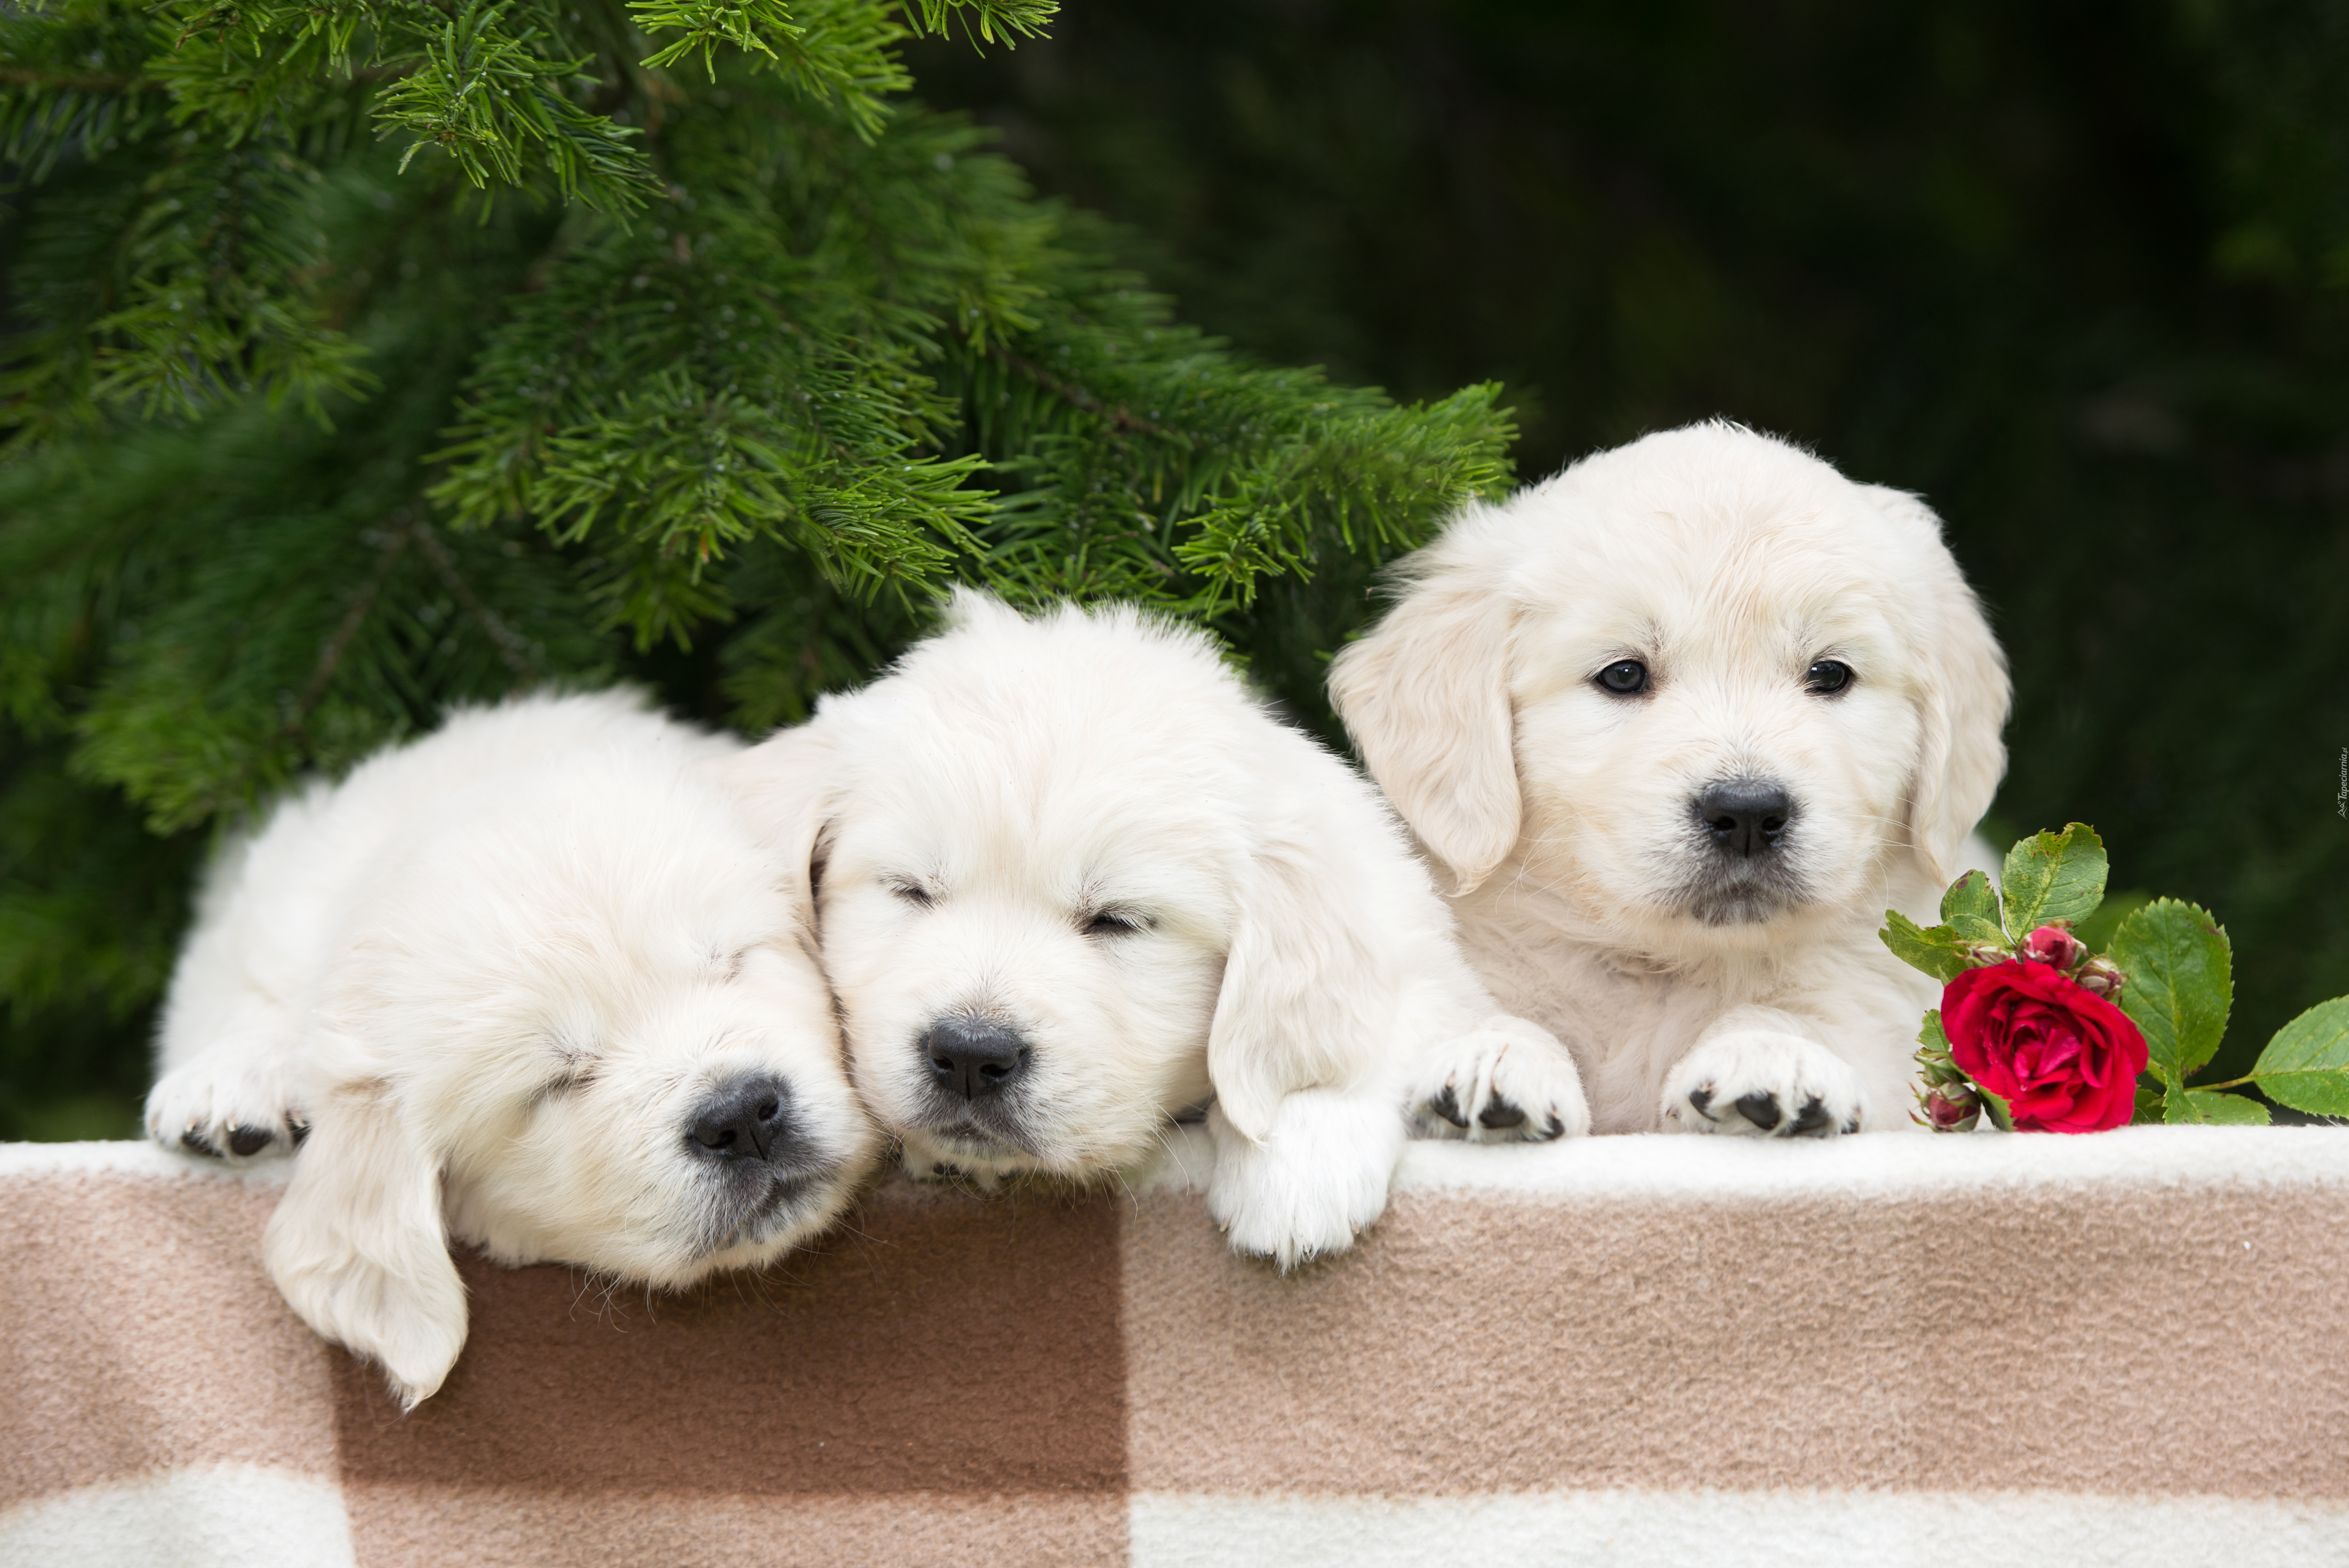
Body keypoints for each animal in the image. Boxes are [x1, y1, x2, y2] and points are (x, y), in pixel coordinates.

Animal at [1334, 420, 2010, 1140]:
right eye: (1623, 675)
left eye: (1830, 674)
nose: (1748, 813)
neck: (1662, 970)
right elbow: (1495, 1010)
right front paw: (1498, 1057)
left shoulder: (1880, 1006)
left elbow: (1806, 1013)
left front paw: (1771, 1054)